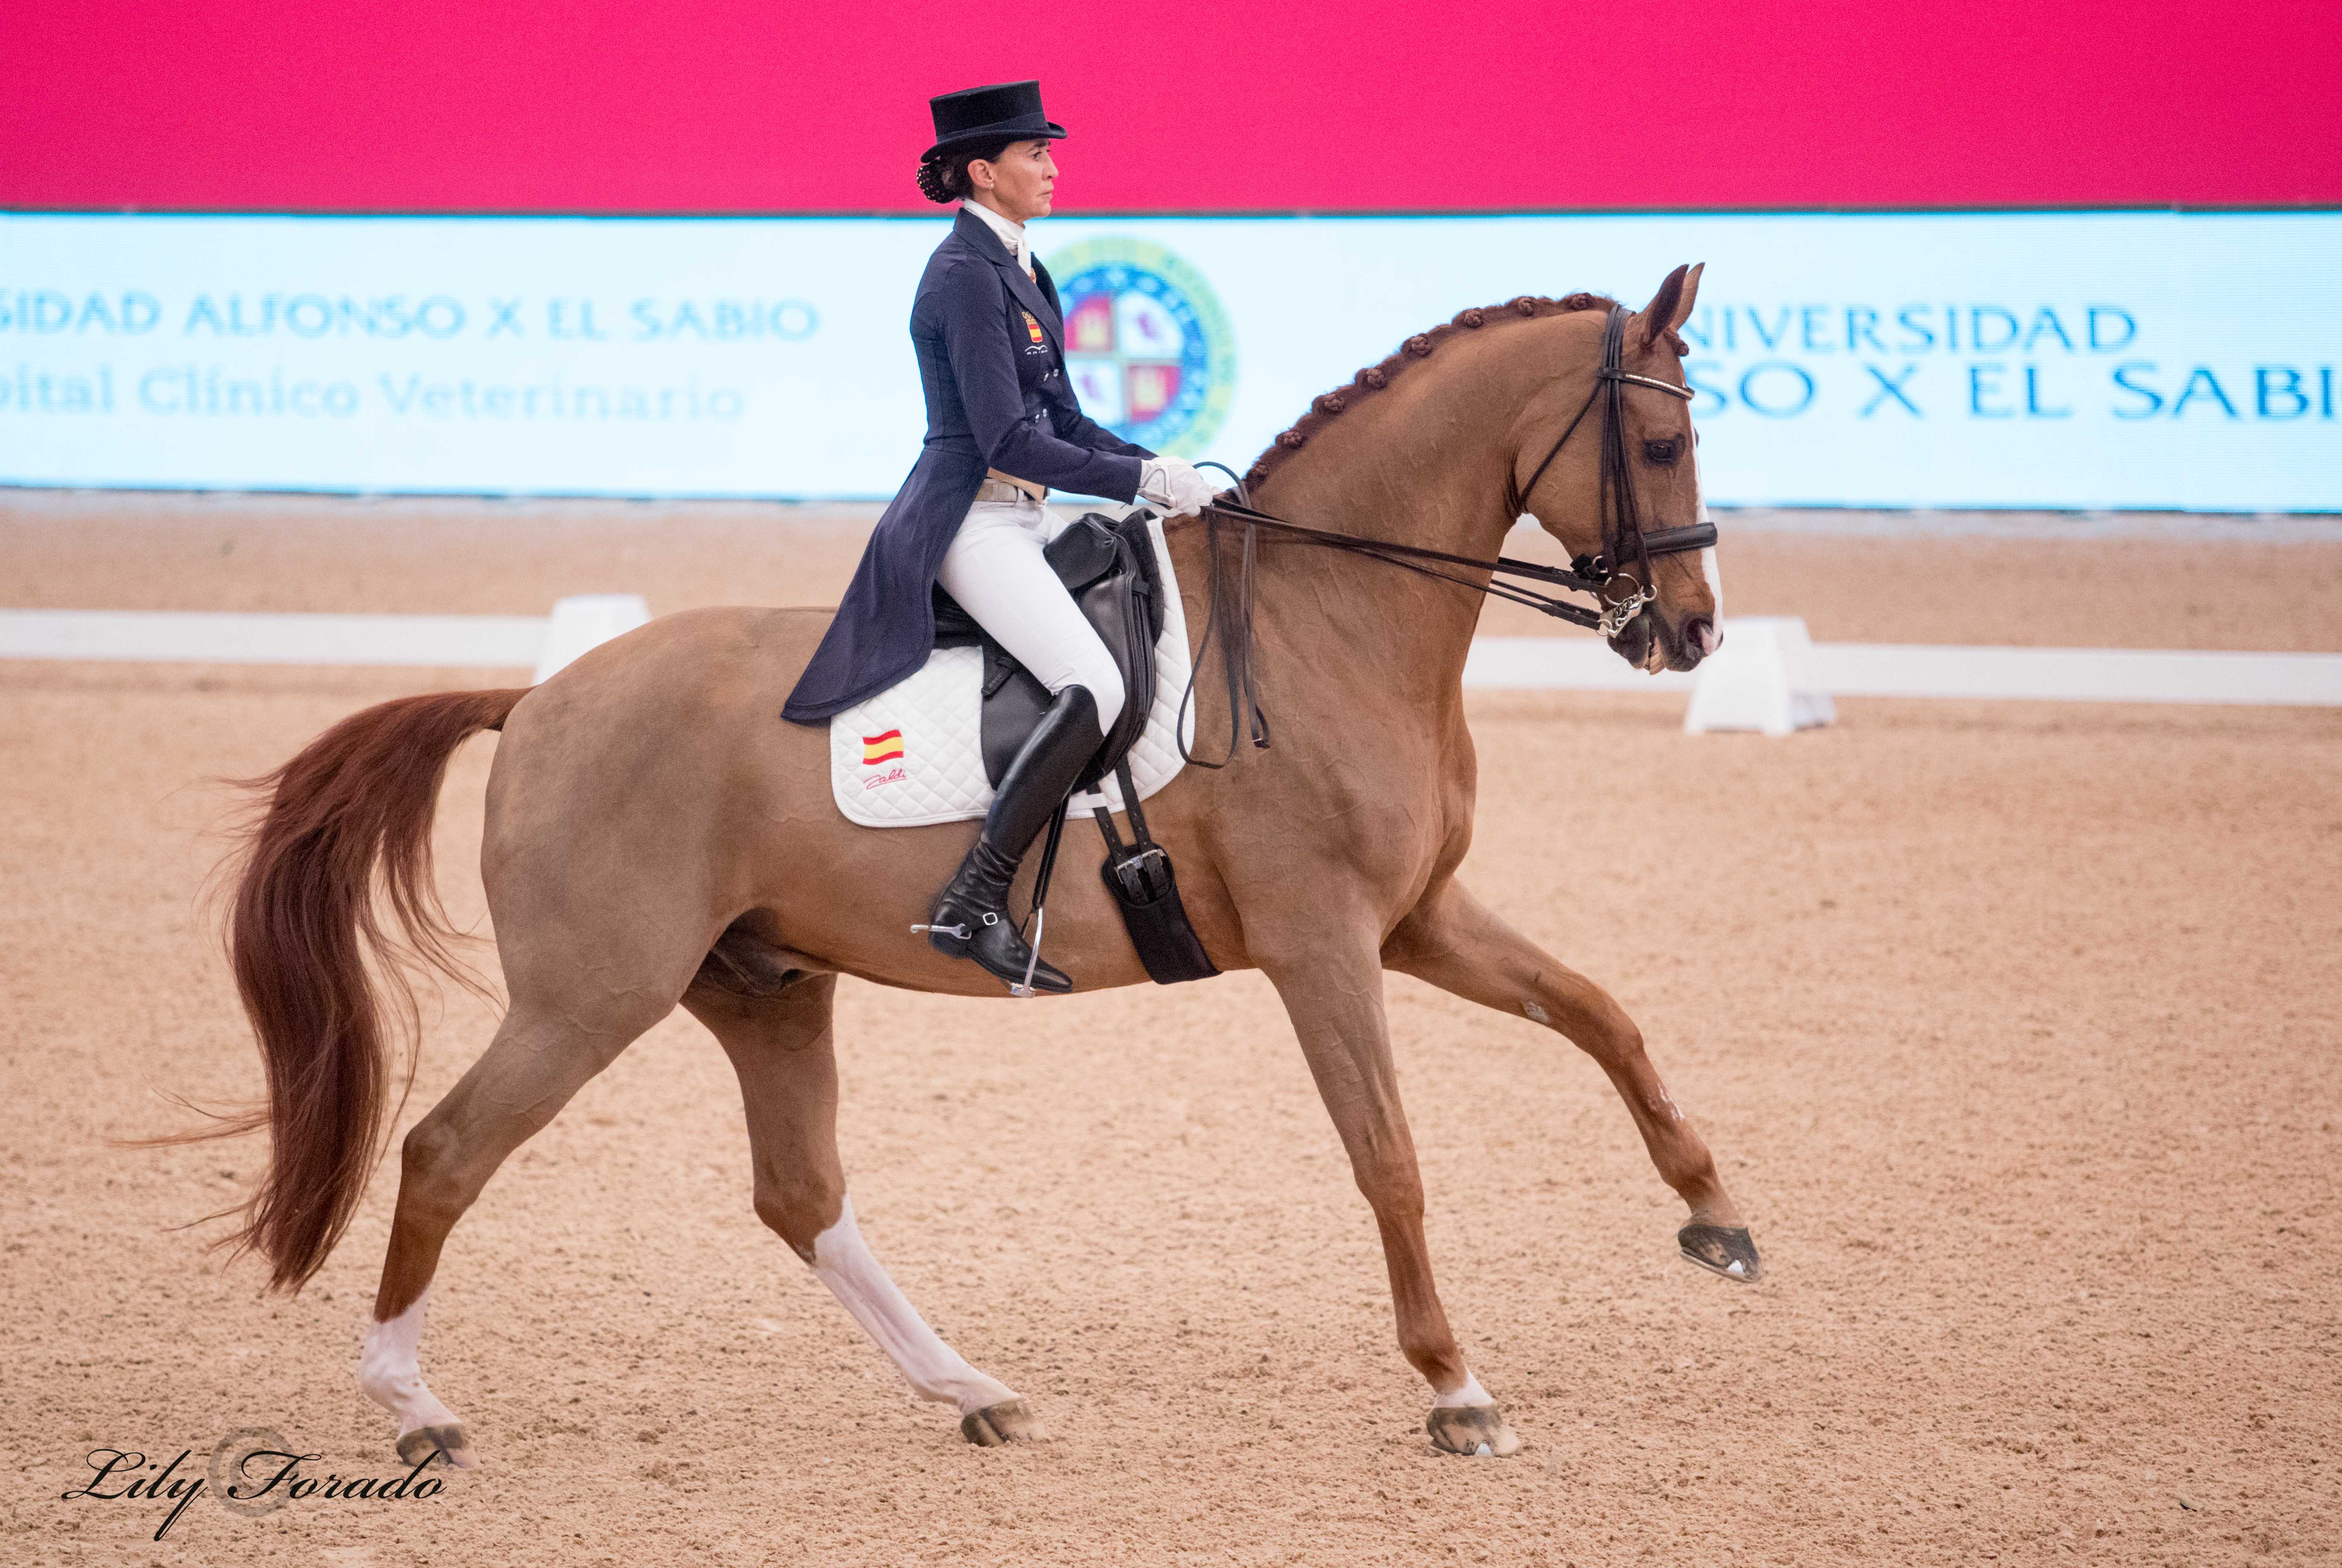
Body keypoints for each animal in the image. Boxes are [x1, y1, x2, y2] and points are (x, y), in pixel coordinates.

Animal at [206, 261, 1761, 1479]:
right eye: (1659, 444)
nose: (1688, 633)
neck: (1330, 616)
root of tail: (529, 701)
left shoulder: (1415, 916)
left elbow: (1600, 1013)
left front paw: (1714, 1218)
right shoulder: (1322, 939)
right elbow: (1386, 1154)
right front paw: (1455, 1388)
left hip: (761, 983)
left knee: (799, 1194)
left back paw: (974, 1390)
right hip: (593, 993)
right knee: (446, 1151)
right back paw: (413, 1407)